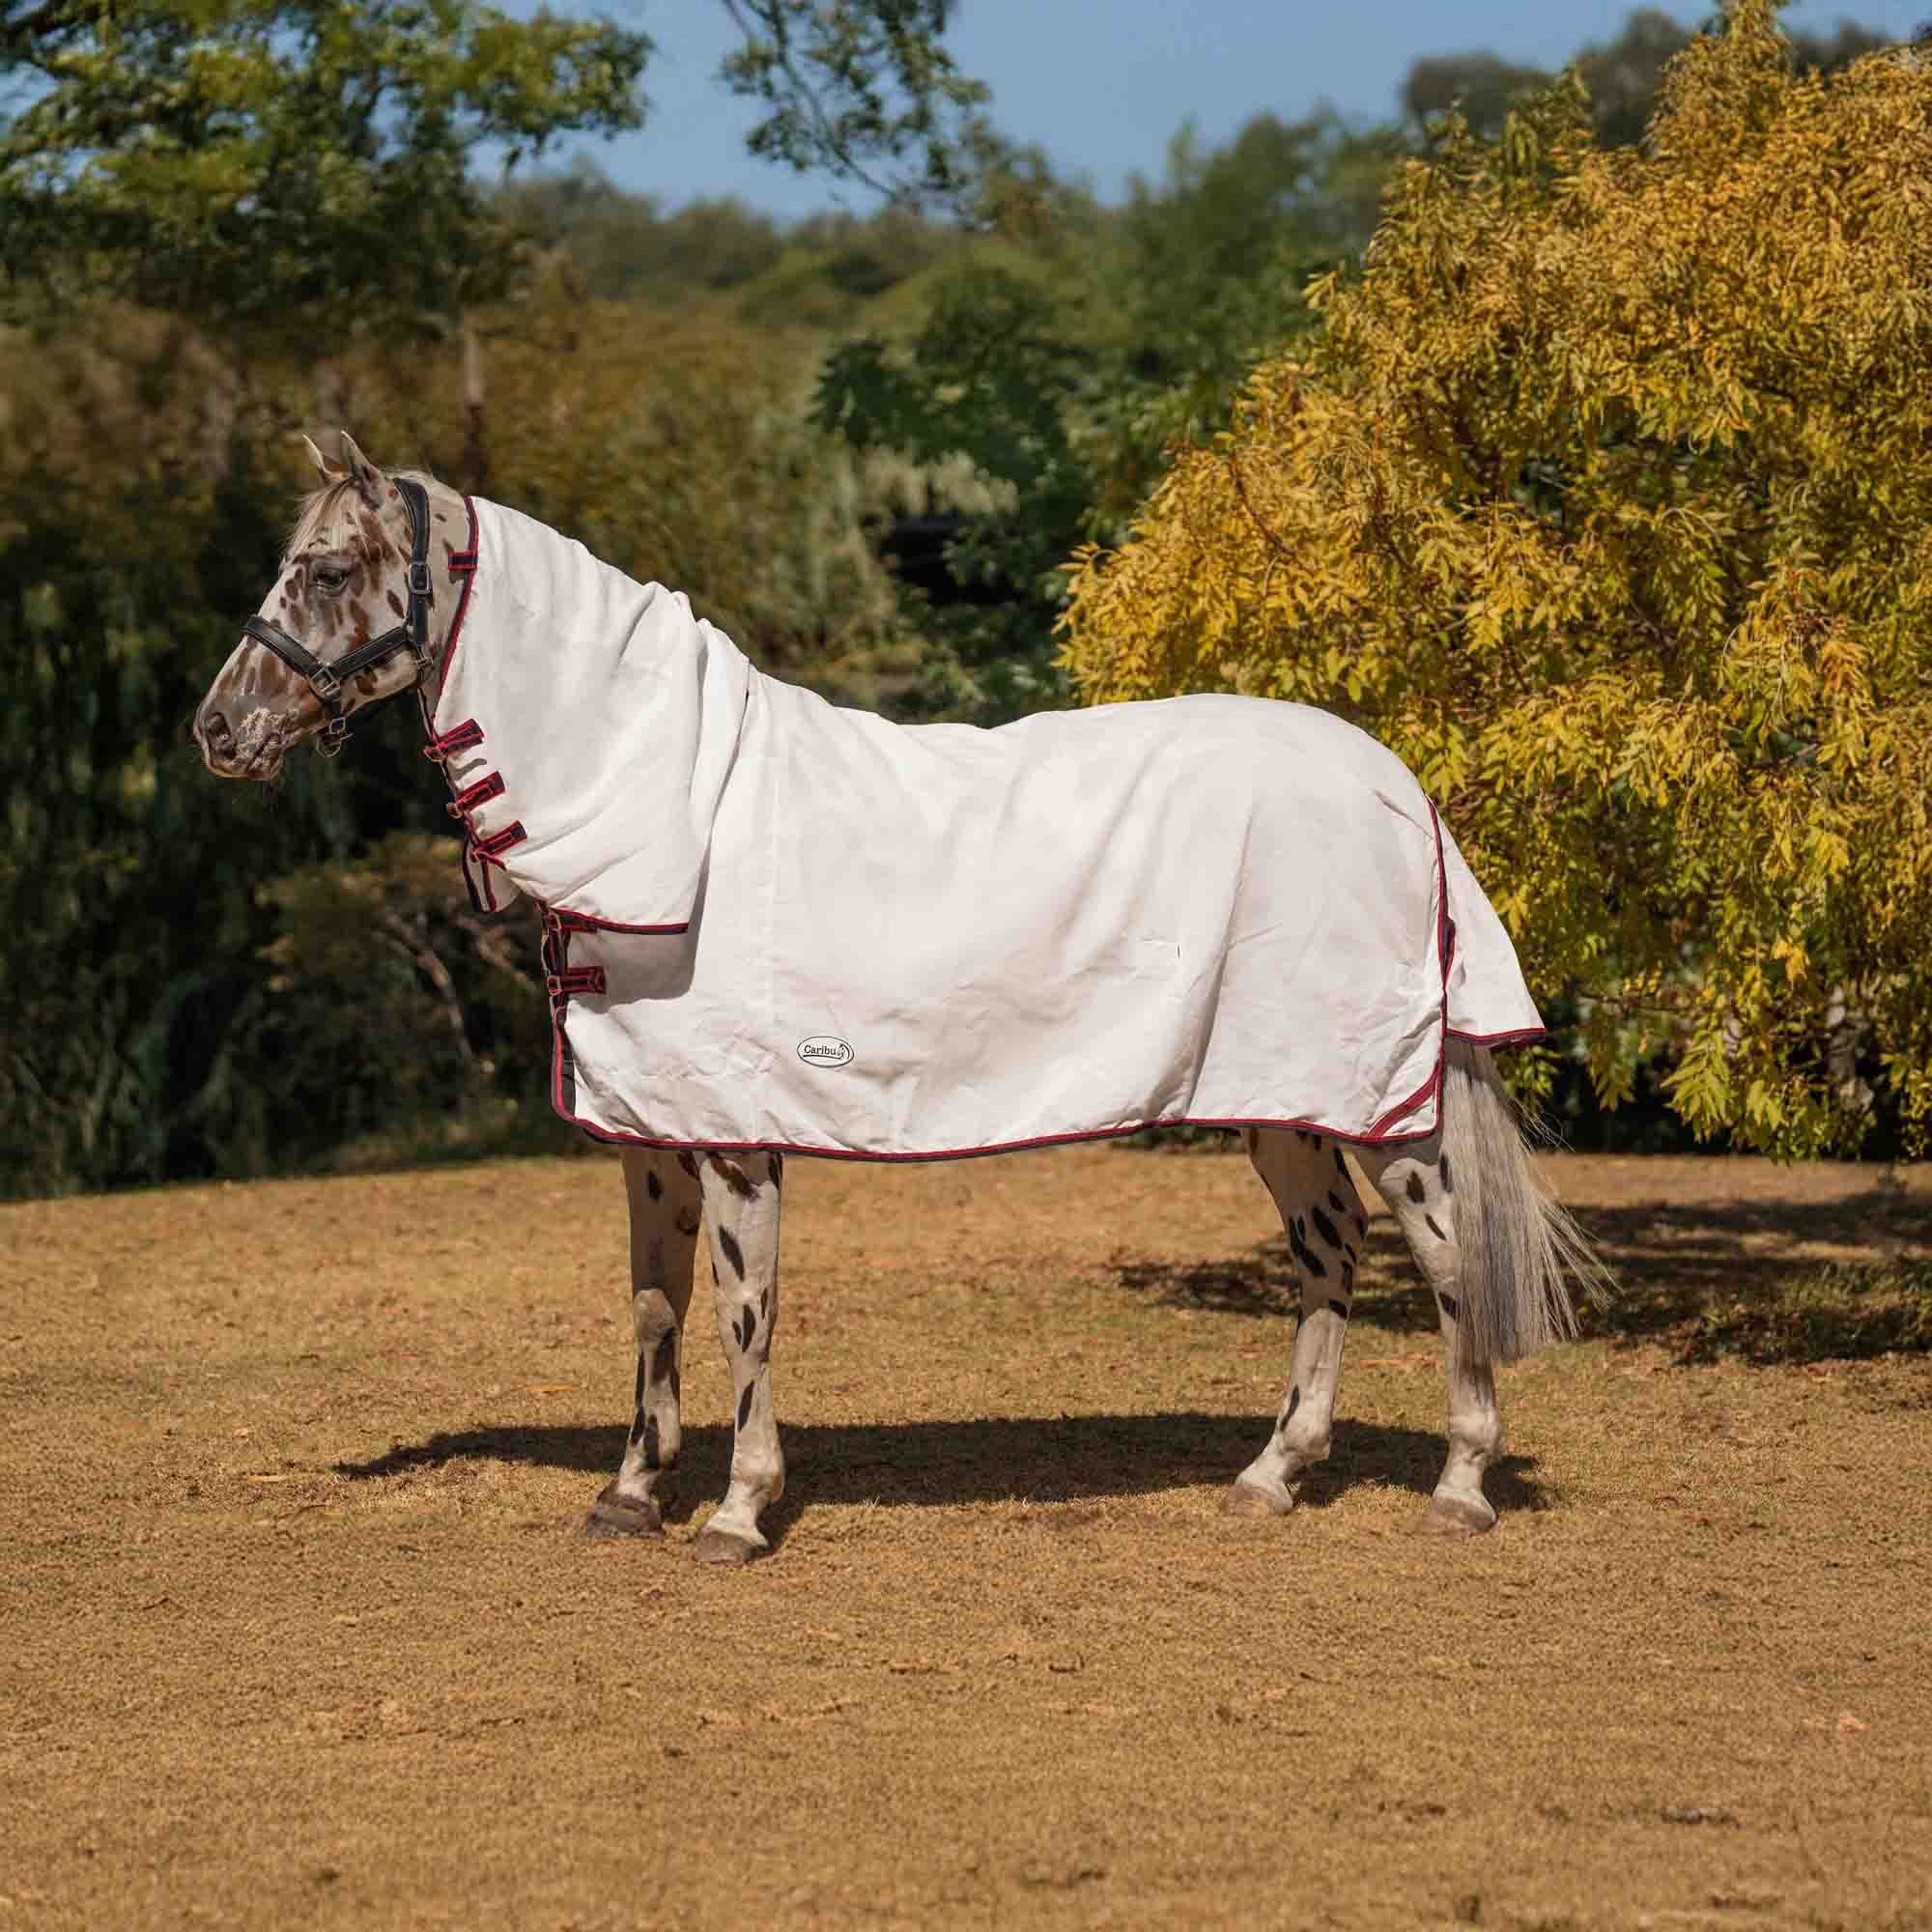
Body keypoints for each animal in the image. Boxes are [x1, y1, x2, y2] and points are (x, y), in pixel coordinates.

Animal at [194, 432, 1604, 1563]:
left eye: (328, 570)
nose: (217, 730)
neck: (669, 818)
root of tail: (1393, 784)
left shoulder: (736, 1140)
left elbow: (740, 1317)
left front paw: (736, 1513)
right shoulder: (649, 1133)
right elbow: (654, 1308)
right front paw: (630, 1495)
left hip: (1373, 1098)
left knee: (1440, 1252)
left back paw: (1460, 1485)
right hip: (1275, 1094)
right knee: (1327, 1253)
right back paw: (1271, 1475)